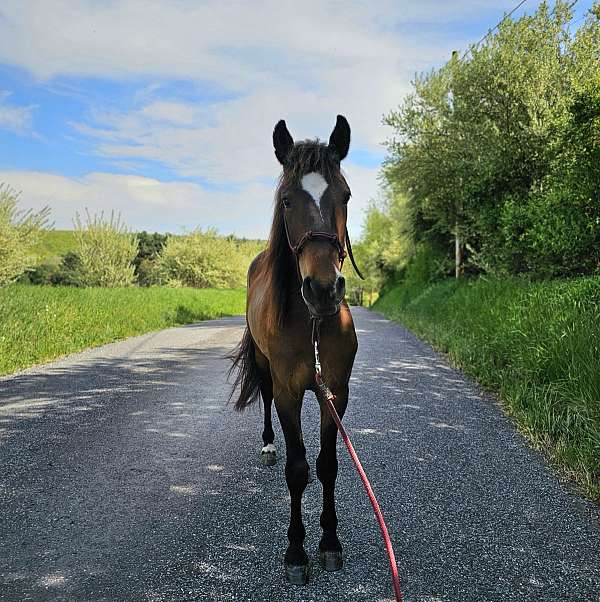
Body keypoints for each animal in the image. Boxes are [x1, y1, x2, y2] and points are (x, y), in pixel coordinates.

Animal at [230, 115, 360, 584]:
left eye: (345, 194)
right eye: (287, 200)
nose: (323, 290)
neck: (312, 325)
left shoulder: (334, 392)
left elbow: (326, 465)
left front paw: (330, 543)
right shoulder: (289, 392)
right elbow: (298, 469)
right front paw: (296, 551)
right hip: (265, 368)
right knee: (266, 399)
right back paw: (270, 446)